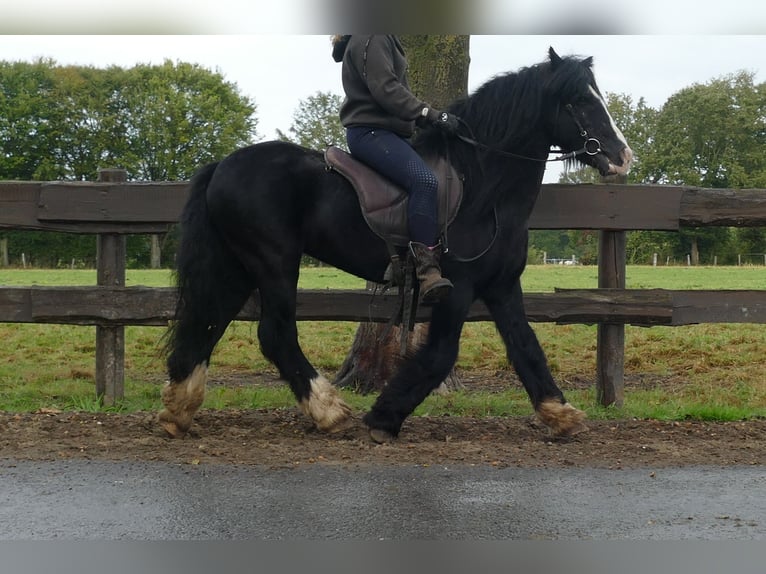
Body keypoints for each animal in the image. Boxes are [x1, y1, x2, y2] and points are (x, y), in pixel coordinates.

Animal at [159, 49, 632, 444]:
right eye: (581, 101)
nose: (622, 156)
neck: (482, 186)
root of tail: (222, 165)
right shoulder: (458, 288)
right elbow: (441, 354)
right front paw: (383, 418)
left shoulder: (501, 286)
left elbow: (526, 346)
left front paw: (560, 414)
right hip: (274, 263)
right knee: (274, 334)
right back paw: (328, 411)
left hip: (238, 267)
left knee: (207, 323)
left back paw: (178, 410)